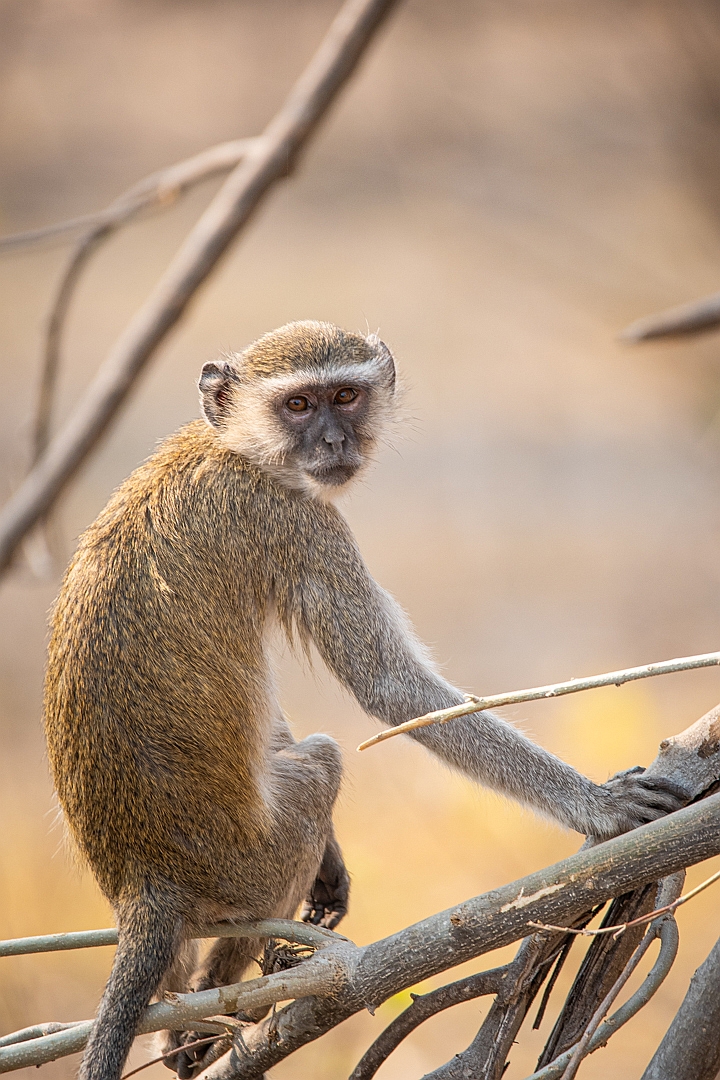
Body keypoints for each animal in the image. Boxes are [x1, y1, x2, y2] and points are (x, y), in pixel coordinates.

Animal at [45, 319, 686, 1080]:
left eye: (345, 396)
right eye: (298, 405)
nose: (332, 442)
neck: (232, 446)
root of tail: (145, 881)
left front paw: (333, 871)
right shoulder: (296, 519)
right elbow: (390, 686)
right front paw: (599, 804)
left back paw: (185, 1015)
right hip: (248, 862)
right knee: (321, 761)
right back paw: (224, 996)